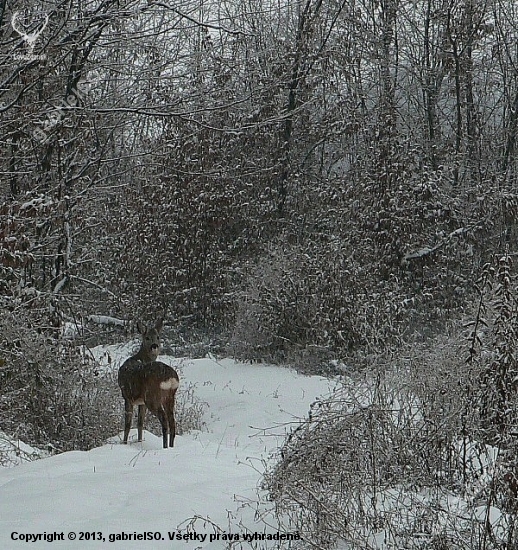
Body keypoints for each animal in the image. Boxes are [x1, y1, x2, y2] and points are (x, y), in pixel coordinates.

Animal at [118, 316, 181, 450]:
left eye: (158, 336)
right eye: (147, 337)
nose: (154, 346)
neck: (139, 358)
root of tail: (170, 378)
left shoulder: (127, 396)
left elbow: (128, 424)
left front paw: (124, 443)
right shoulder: (141, 402)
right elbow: (140, 422)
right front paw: (139, 441)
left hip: (152, 397)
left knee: (164, 420)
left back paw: (165, 446)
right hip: (170, 397)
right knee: (172, 422)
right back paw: (171, 446)